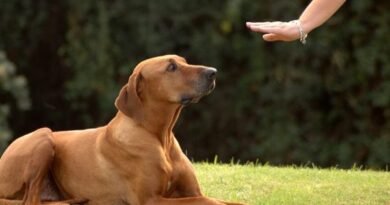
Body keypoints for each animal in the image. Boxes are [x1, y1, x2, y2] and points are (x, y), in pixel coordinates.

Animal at [0, 55, 244, 205]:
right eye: (171, 67)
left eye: (184, 61)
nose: (213, 72)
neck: (159, 136)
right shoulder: (151, 200)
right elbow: (208, 201)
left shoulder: (191, 191)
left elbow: (225, 200)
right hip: (44, 135)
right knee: (30, 201)